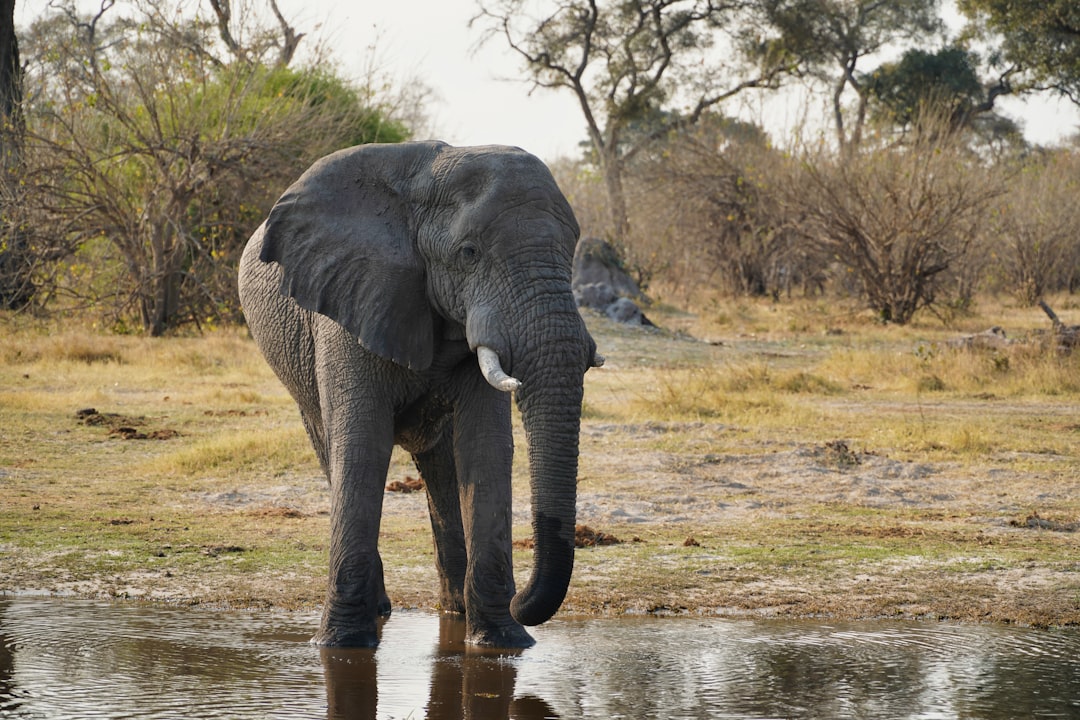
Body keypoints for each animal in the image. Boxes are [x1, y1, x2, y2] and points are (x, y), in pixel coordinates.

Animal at [236, 139, 604, 647]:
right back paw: (385, 610)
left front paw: (502, 642)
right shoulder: (350, 301)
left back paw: (456, 611)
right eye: (469, 252)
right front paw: (342, 644)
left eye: (571, 253)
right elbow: (362, 445)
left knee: (442, 465)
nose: (521, 600)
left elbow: (486, 447)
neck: (424, 182)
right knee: (333, 450)